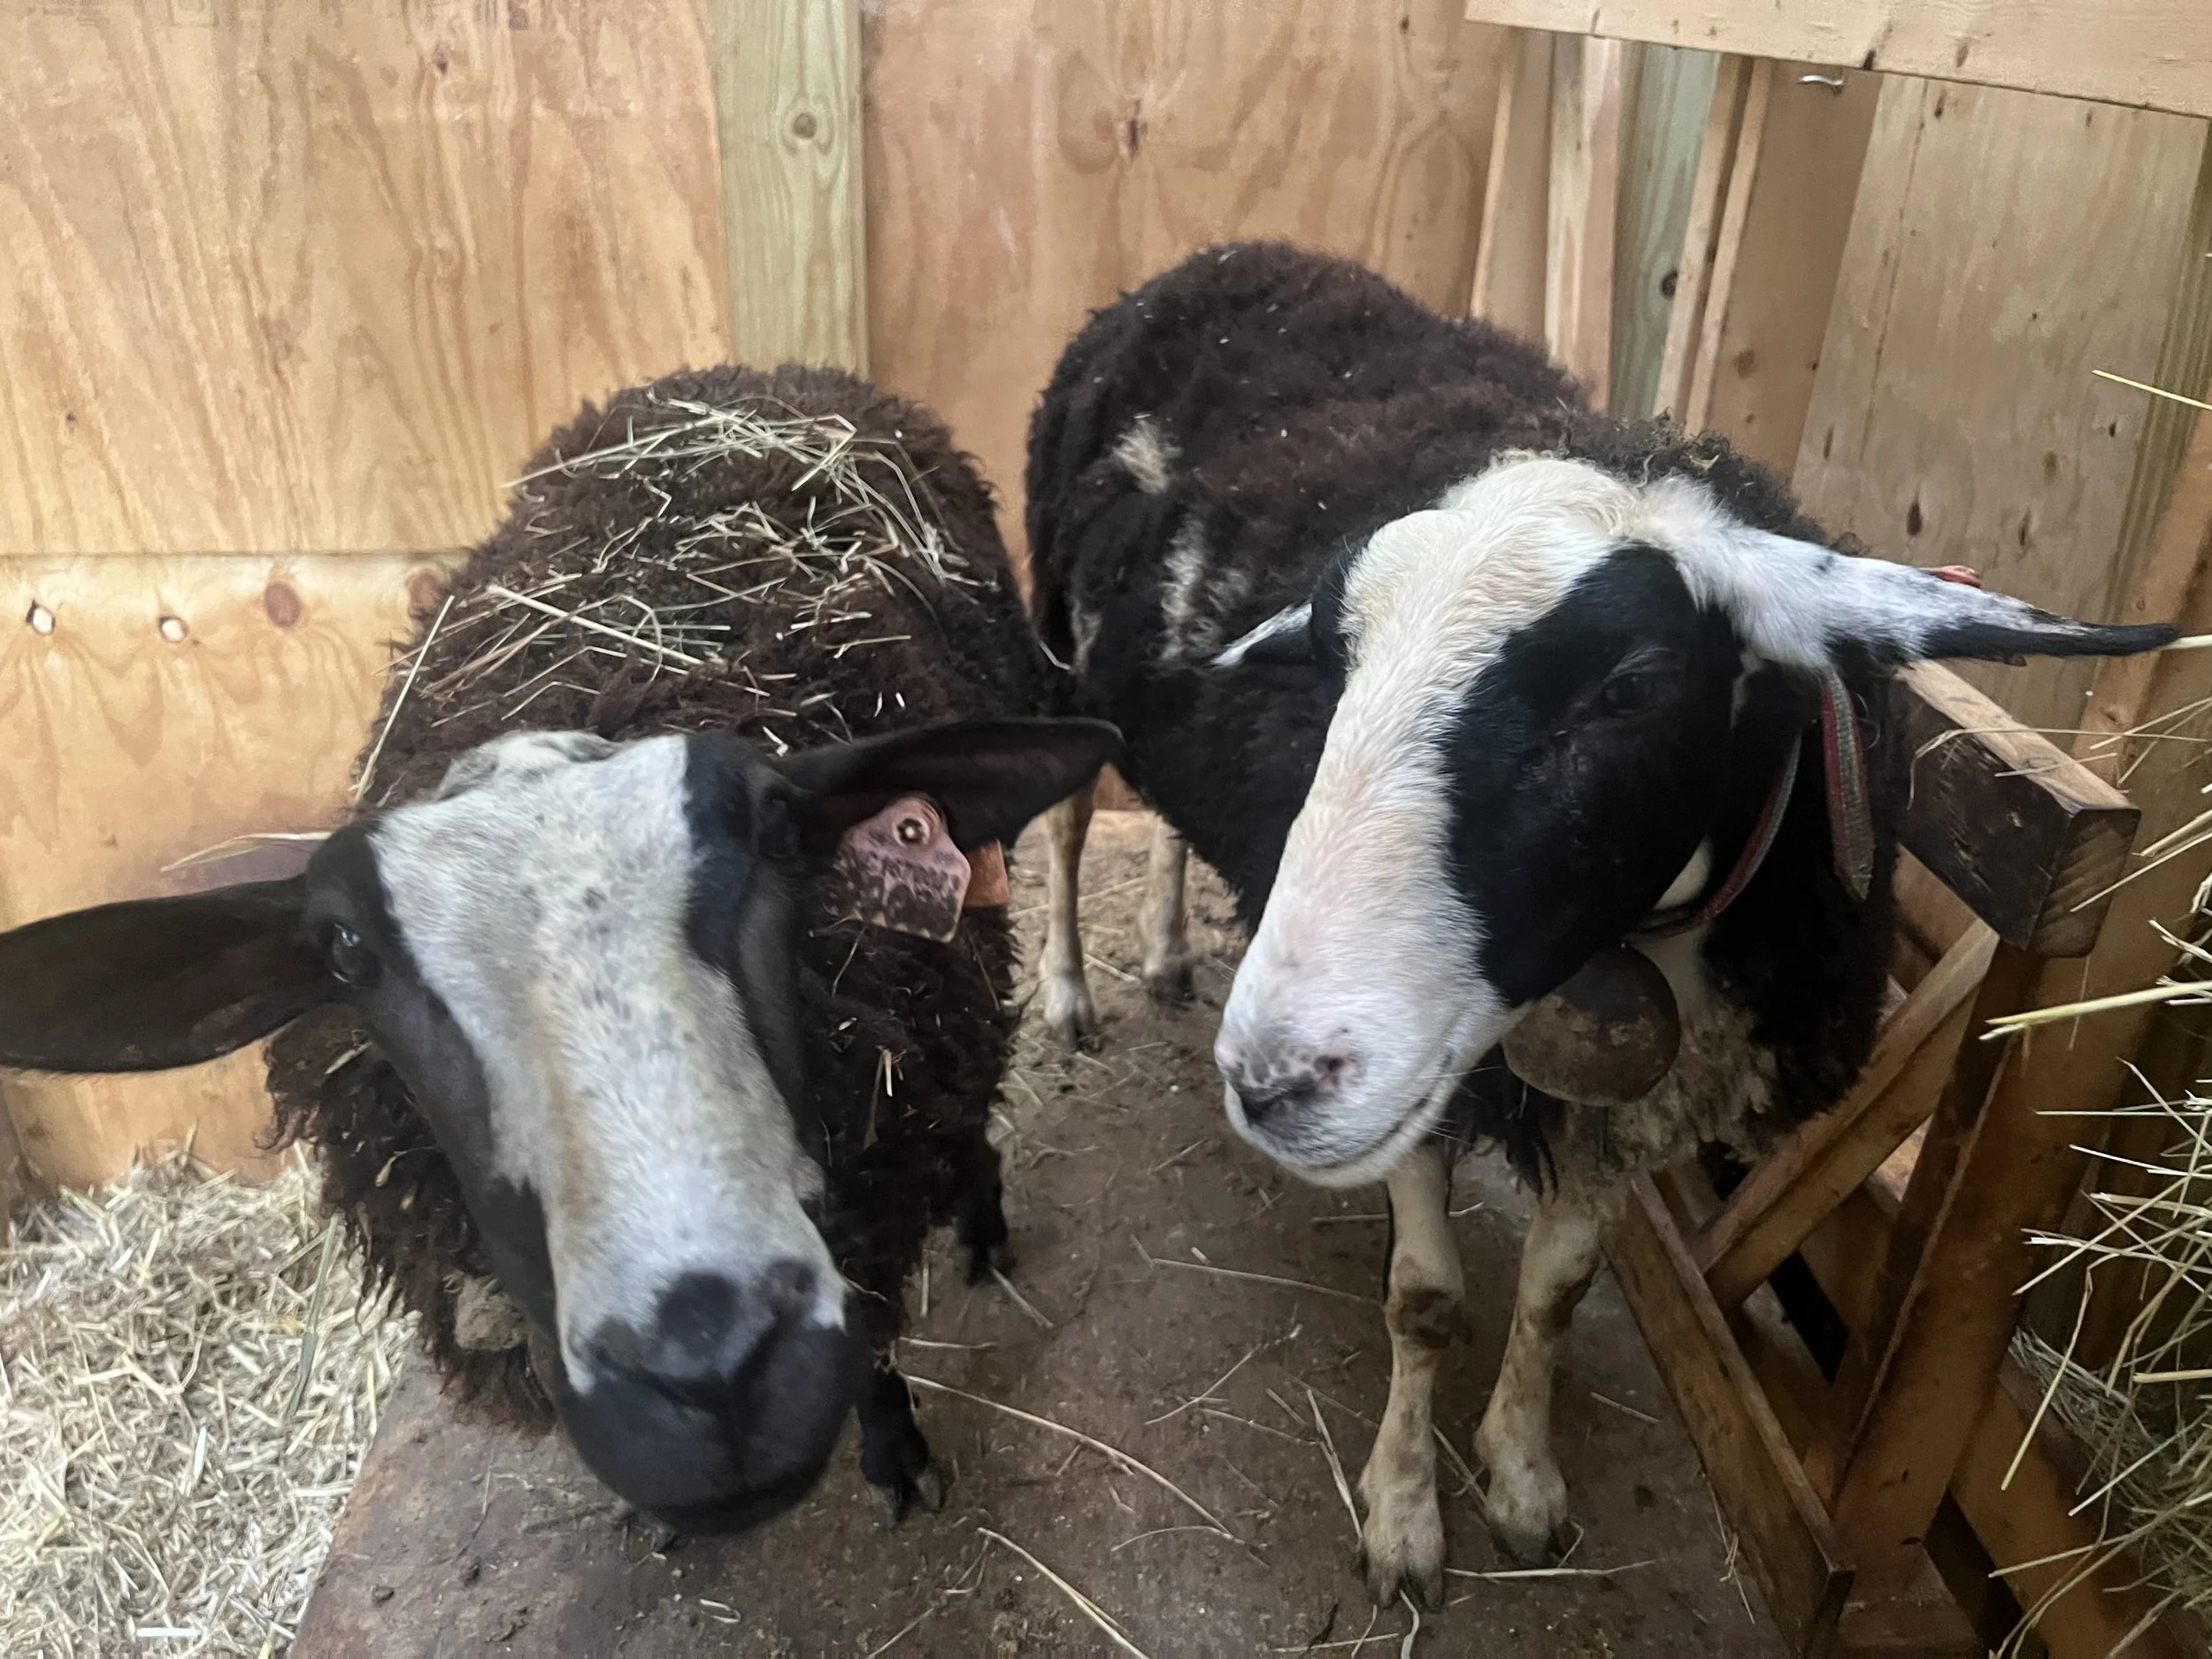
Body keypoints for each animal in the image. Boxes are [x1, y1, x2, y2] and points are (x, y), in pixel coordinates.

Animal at [1023, 242, 2175, 1605]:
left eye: (1629, 689)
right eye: (1334, 671)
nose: (1272, 1084)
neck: (1640, 936)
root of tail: (1227, 257)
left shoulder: (1638, 1099)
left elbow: (1560, 1290)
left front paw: (1522, 1476)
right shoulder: (1437, 1086)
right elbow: (1425, 1300)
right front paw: (1404, 1514)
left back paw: (1165, 951)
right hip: (1058, 642)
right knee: (1069, 817)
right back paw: (1070, 989)